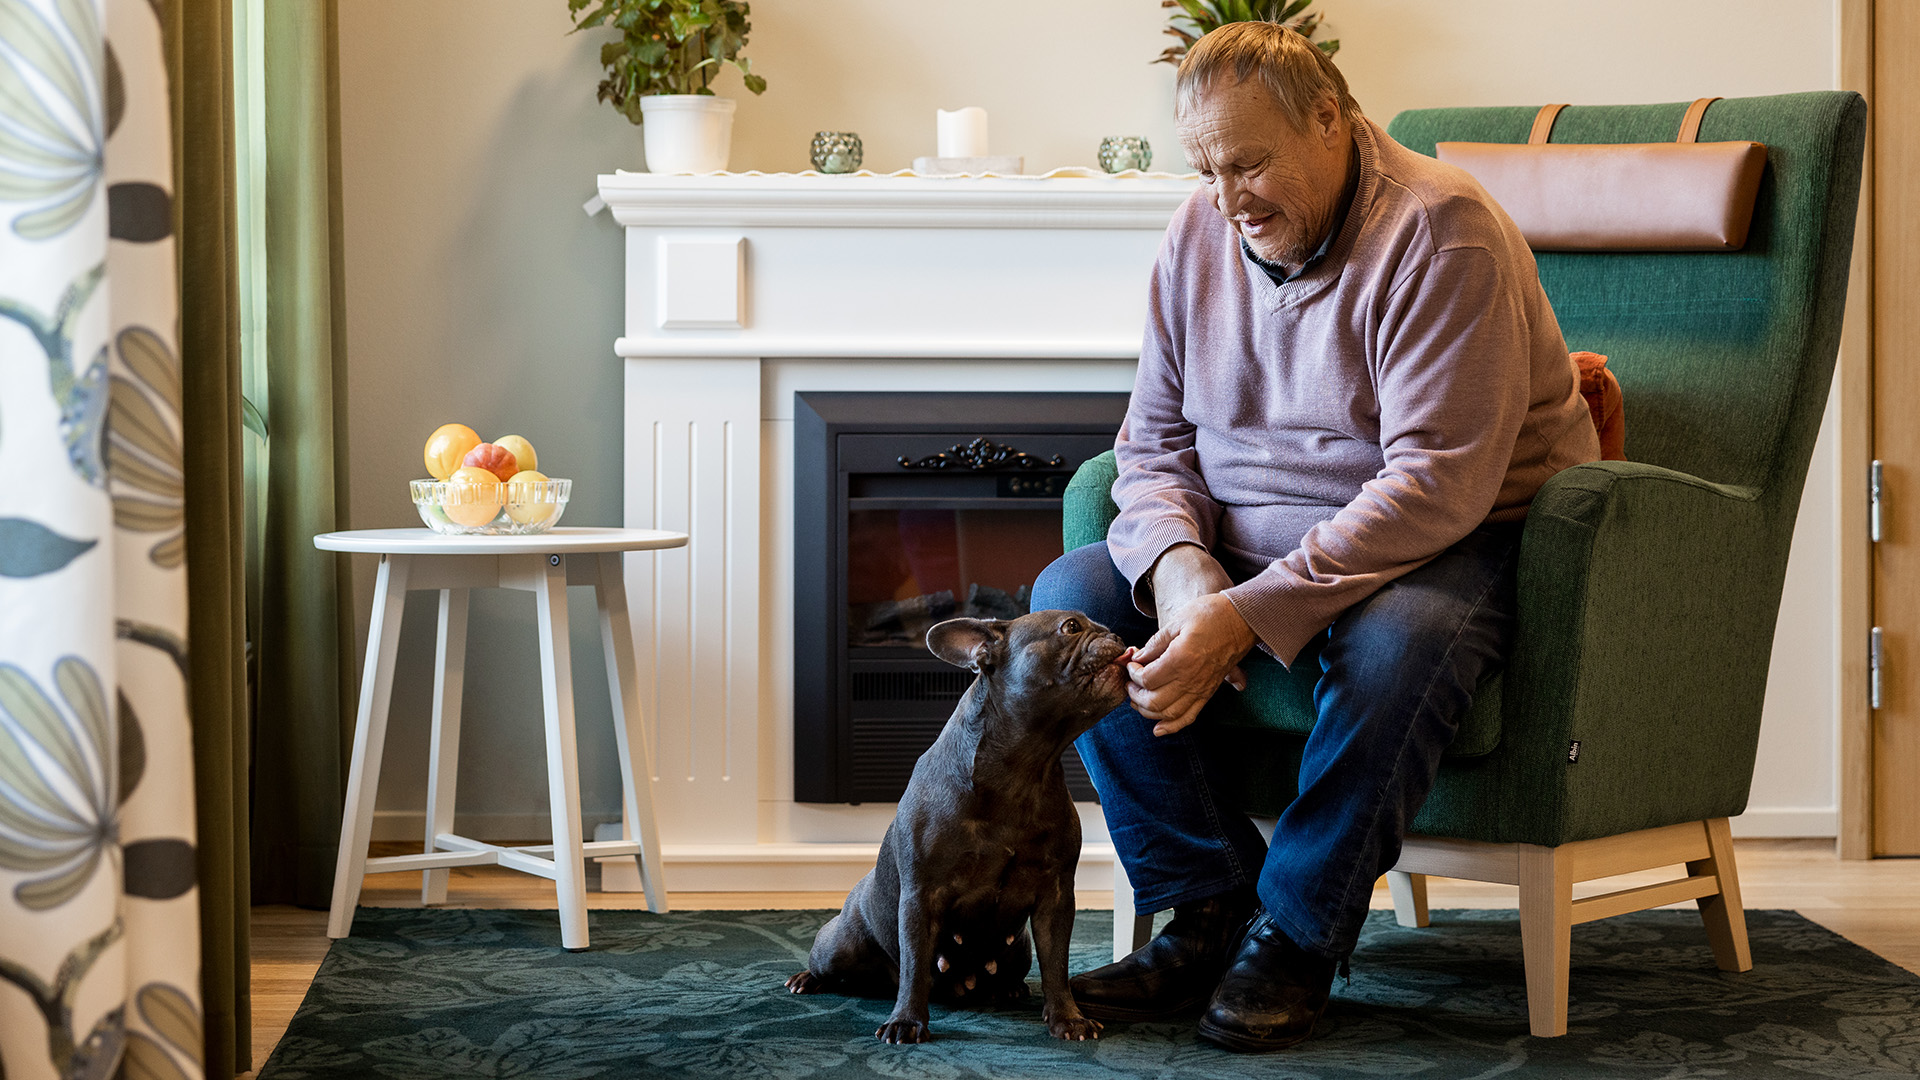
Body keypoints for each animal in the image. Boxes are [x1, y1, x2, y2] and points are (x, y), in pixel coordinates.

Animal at [783, 611, 1128, 1037]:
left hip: (1020, 949)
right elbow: (916, 965)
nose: (1117, 635)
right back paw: (806, 979)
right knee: (834, 964)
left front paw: (1068, 1018)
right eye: (1071, 627)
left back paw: (1011, 989)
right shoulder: (921, 896)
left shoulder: (1056, 896)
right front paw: (906, 1021)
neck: (1023, 768)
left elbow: (1056, 963)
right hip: (840, 945)